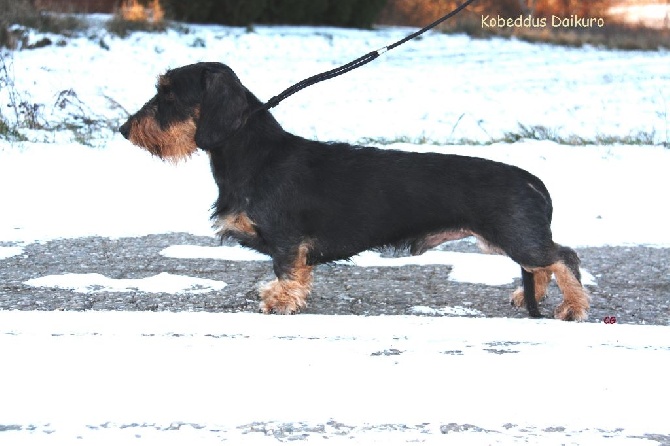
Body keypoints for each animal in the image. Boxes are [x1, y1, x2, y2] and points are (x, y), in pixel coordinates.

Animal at [118, 62, 592, 320]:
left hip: (512, 236)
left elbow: (286, 271)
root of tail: (530, 179)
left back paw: (572, 307)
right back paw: (532, 295)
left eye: (168, 95)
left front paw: (280, 301)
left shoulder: (286, 239)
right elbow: (297, 272)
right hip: (506, 239)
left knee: (563, 258)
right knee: (544, 263)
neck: (254, 153)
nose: (123, 130)